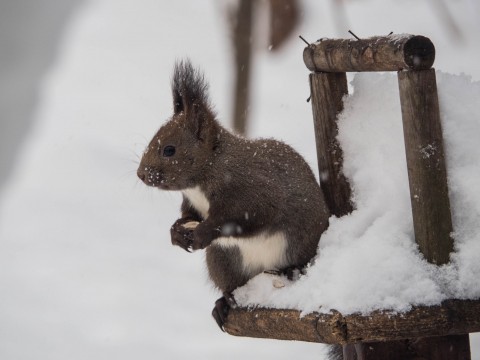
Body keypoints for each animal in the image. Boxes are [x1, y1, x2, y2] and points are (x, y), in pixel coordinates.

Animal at [137, 59, 328, 332]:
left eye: (169, 150)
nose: (141, 174)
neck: (208, 172)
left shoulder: (254, 193)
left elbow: (243, 217)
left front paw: (202, 232)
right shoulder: (192, 203)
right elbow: (188, 215)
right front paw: (176, 232)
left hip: (299, 243)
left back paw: (292, 270)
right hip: (224, 261)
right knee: (229, 286)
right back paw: (223, 303)